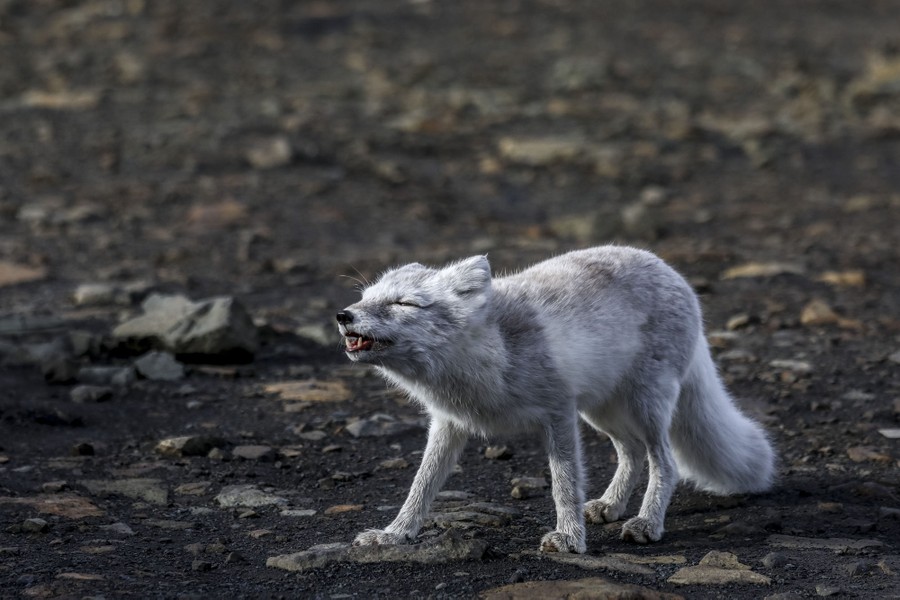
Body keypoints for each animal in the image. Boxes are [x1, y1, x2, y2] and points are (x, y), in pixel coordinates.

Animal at [336, 246, 775, 554]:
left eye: (404, 303)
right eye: (365, 297)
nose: (343, 315)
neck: (486, 353)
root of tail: (673, 272)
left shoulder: (558, 411)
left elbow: (564, 482)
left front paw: (568, 539)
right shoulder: (449, 423)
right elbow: (421, 485)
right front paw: (395, 534)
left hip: (645, 404)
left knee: (664, 461)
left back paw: (647, 524)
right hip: (601, 410)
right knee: (631, 452)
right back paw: (610, 505)